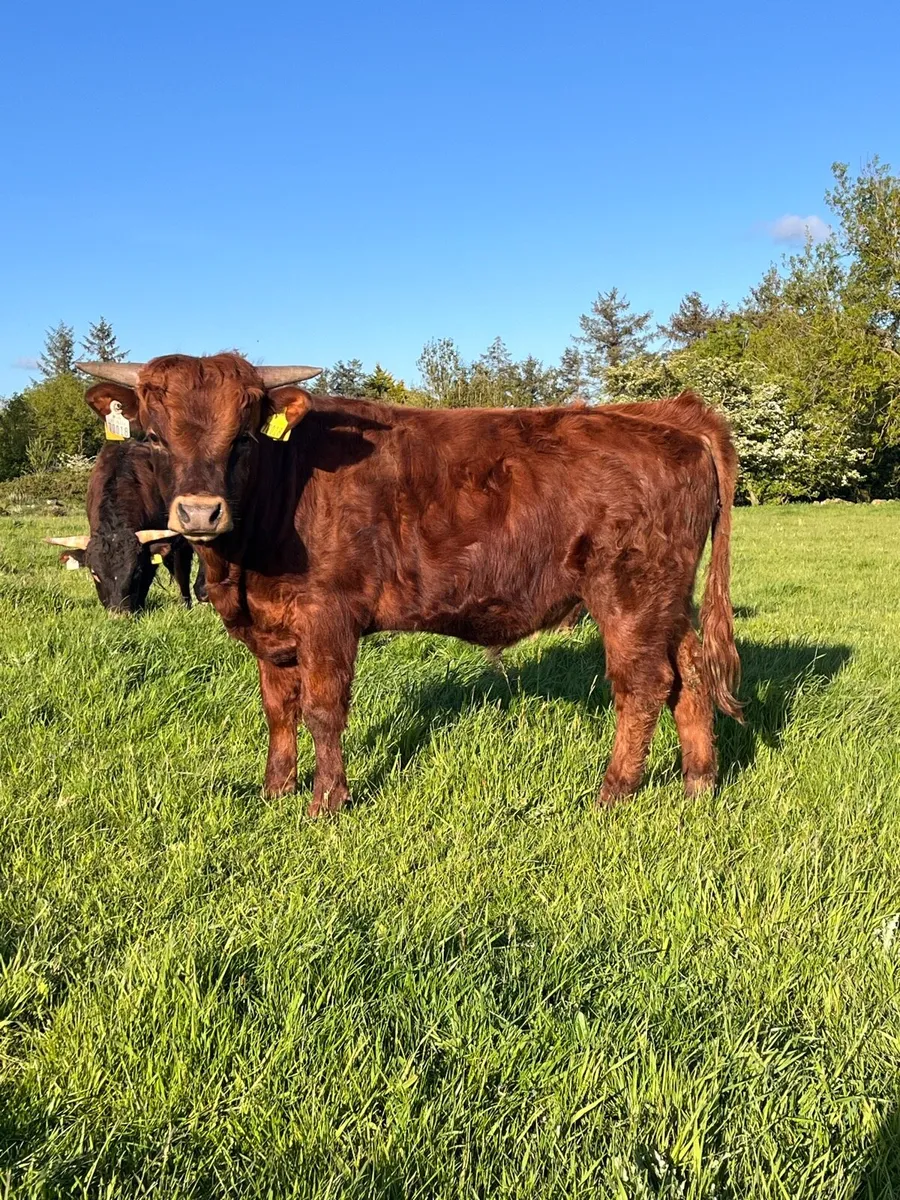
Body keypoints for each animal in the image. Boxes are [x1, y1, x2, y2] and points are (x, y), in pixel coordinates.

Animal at [76, 354, 742, 813]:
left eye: (241, 436)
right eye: (154, 437)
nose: (198, 513)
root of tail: (669, 416)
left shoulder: (328, 618)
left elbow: (322, 710)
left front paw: (326, 803)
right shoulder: (272, 628)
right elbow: (278, 711)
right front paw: (274, 792)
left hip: (628, 593)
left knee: (643, 686)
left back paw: (613, 794)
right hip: (666, 599)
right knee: (690, 675)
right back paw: (699, 784)